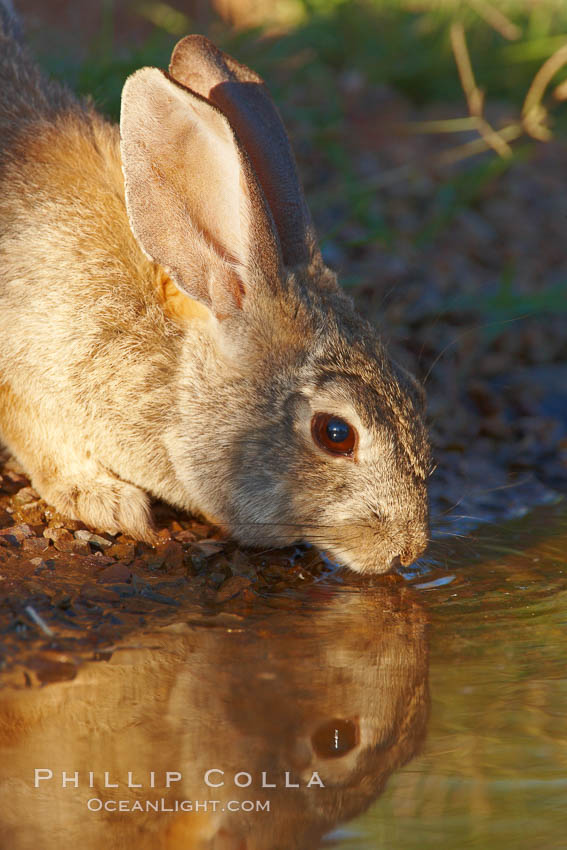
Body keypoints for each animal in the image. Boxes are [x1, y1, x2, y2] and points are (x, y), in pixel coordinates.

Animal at [0, 3, 430, 568]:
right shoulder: (28, 370)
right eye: (336, 434)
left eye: (415, 390)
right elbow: (40, 440)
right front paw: (105, 501)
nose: (409, 549)